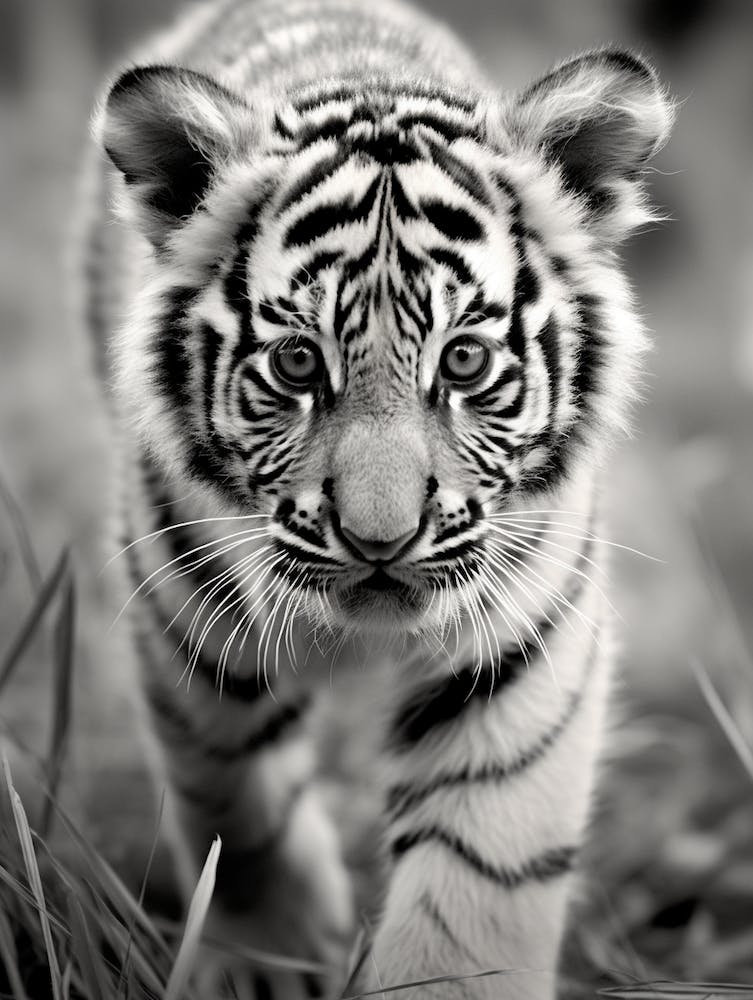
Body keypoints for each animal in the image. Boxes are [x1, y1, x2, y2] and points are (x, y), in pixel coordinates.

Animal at [84, 0, 674, 996]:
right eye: (296, 363)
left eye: (464, 360)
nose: (379, 541)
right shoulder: (183, 611)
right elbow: (234, 801)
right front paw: (271, 960)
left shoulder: (521, 641)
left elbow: (478, 868)